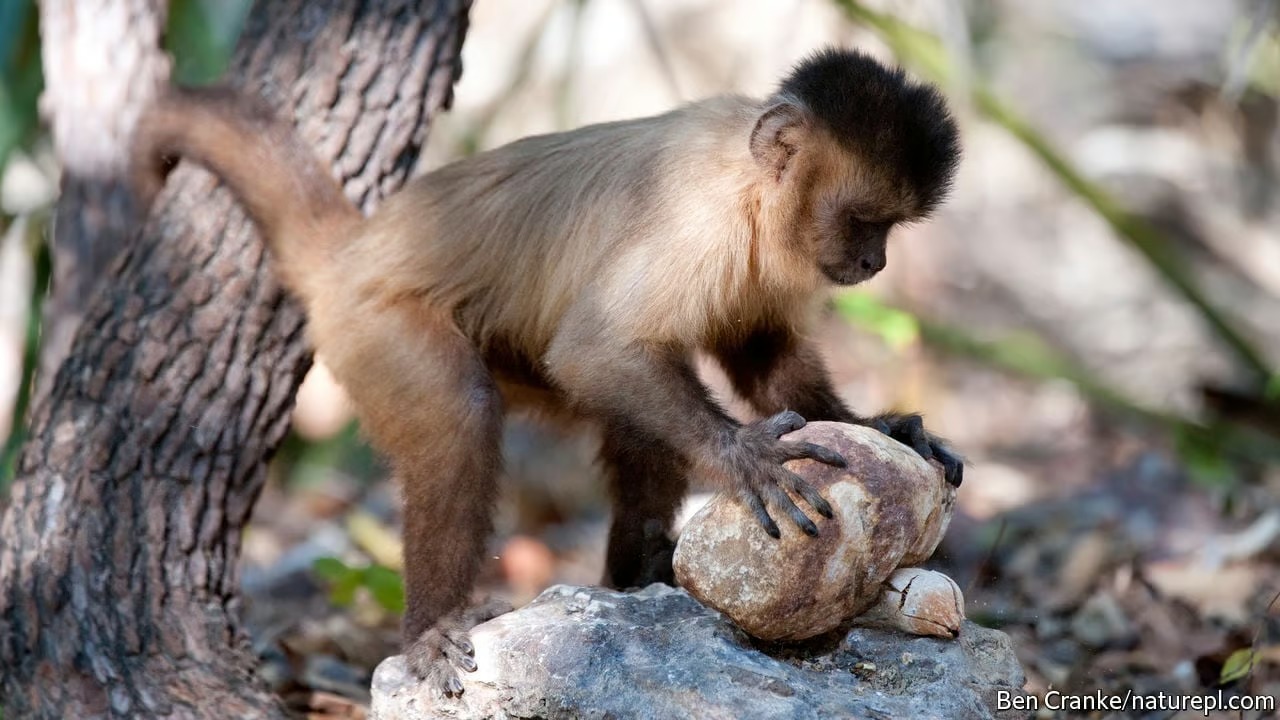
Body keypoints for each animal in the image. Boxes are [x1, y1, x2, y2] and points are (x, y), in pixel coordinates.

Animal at [135, 47, 962, 691]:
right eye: (864, 222)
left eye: (889, 230)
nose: (874, 261)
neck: (749, 180)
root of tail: (354, 251)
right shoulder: (699, 222)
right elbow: (595, 348)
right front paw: (745, 455)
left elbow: (760, 355)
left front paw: (880, 427)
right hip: (368, 321)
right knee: (464, 409)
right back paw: (431, 626)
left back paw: (638, 576)